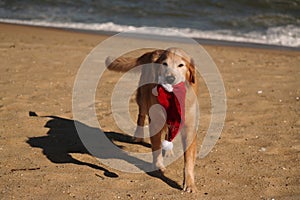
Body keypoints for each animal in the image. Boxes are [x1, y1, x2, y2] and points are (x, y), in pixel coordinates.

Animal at [106, 47, 199, 192]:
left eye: (181, 65)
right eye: (164, 64)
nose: (170, 78)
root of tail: (152, 52)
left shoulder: (189, 127)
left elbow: (188, 159)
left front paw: (189, 184)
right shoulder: (155, 122)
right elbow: (156, 146)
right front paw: (158, 166)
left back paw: (168, 150)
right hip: (143, 99)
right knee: (141, 116)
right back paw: (138, 137)